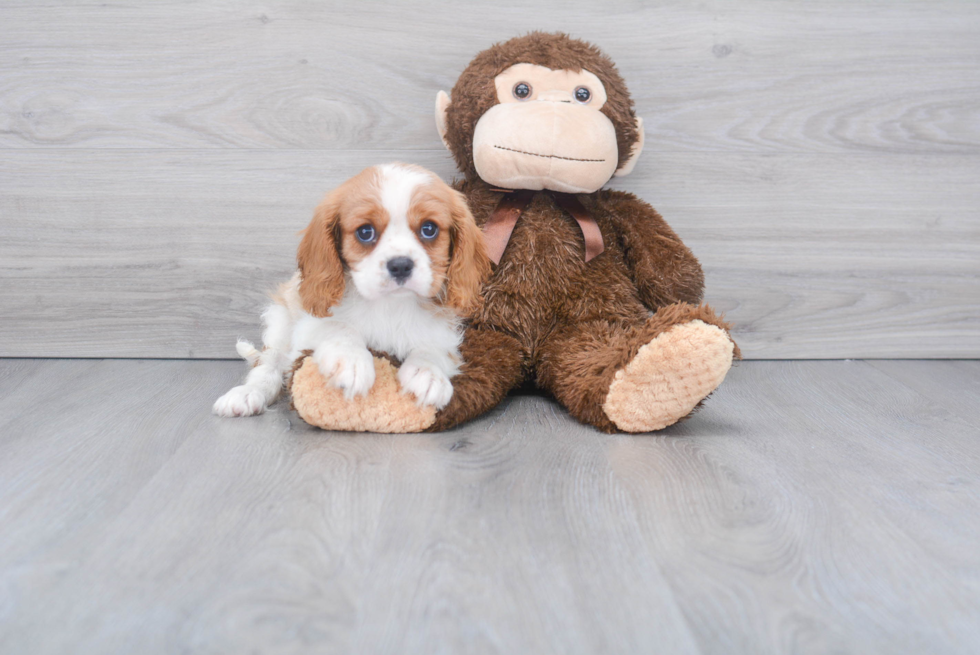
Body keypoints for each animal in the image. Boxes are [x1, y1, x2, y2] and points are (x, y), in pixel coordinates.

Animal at [214, 165, 490, 420]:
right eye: (365, 232)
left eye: (429, 229)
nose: (400, 265)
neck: (390, 304)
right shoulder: (309, 324)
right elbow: (340, 328)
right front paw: (353, 362)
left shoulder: (444, 333)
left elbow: (431, 348)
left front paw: (428, 374)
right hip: (280, 322)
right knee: (268, 365)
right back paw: (247, 394)